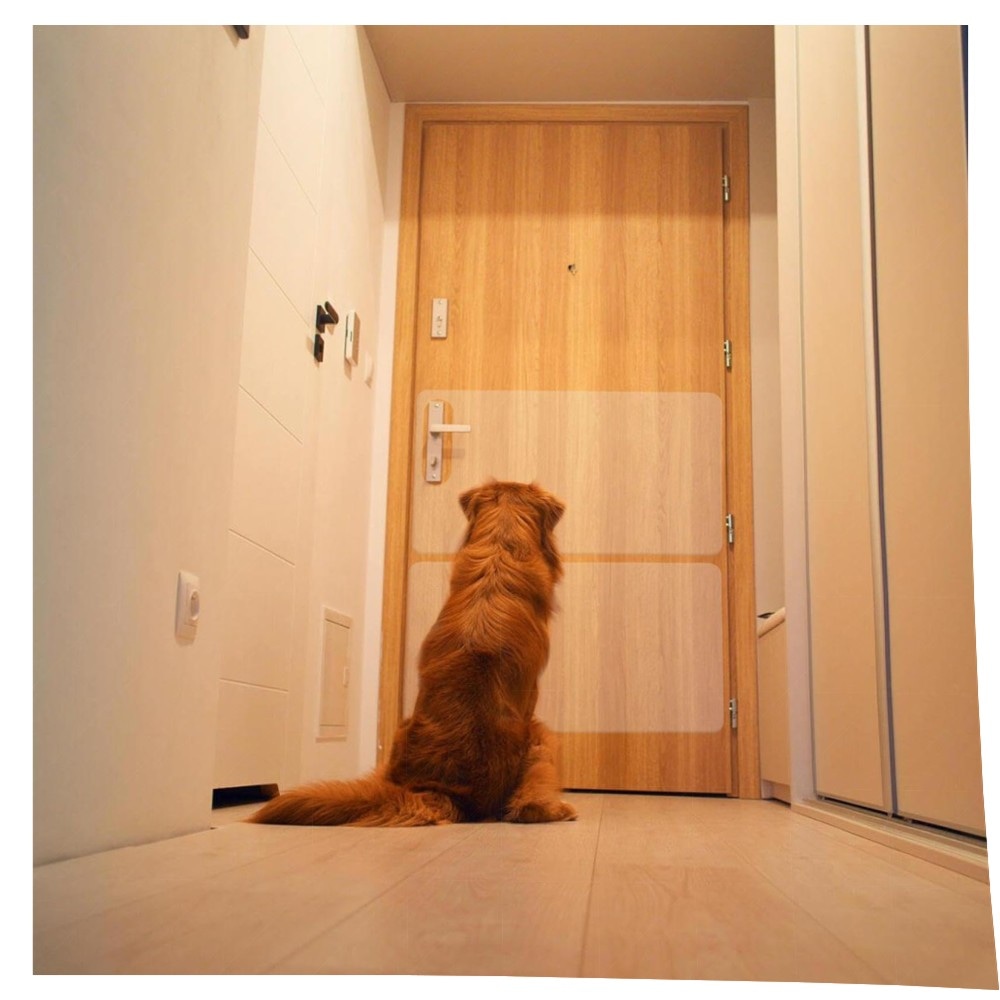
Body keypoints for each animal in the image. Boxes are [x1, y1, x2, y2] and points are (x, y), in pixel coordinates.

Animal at [249, 479, 577, 827]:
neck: (499, 550)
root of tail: (445, 792)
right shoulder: (532, 698)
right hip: (541, 736)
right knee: (529, 806)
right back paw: (561, 809)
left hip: (402, 731)